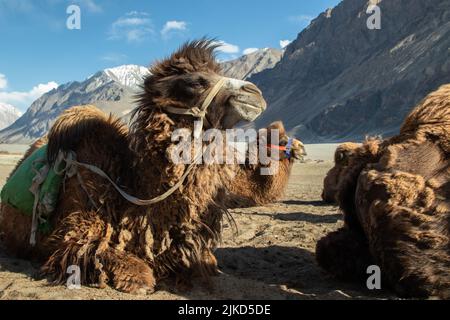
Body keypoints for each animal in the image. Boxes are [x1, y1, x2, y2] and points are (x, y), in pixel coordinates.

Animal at [0, 39, 306, 292]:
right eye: (195, 82)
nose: (254, 93)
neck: (131, 189)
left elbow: (207, 263)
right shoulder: (79, 230)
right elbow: (122, 266)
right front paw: (137, 279)